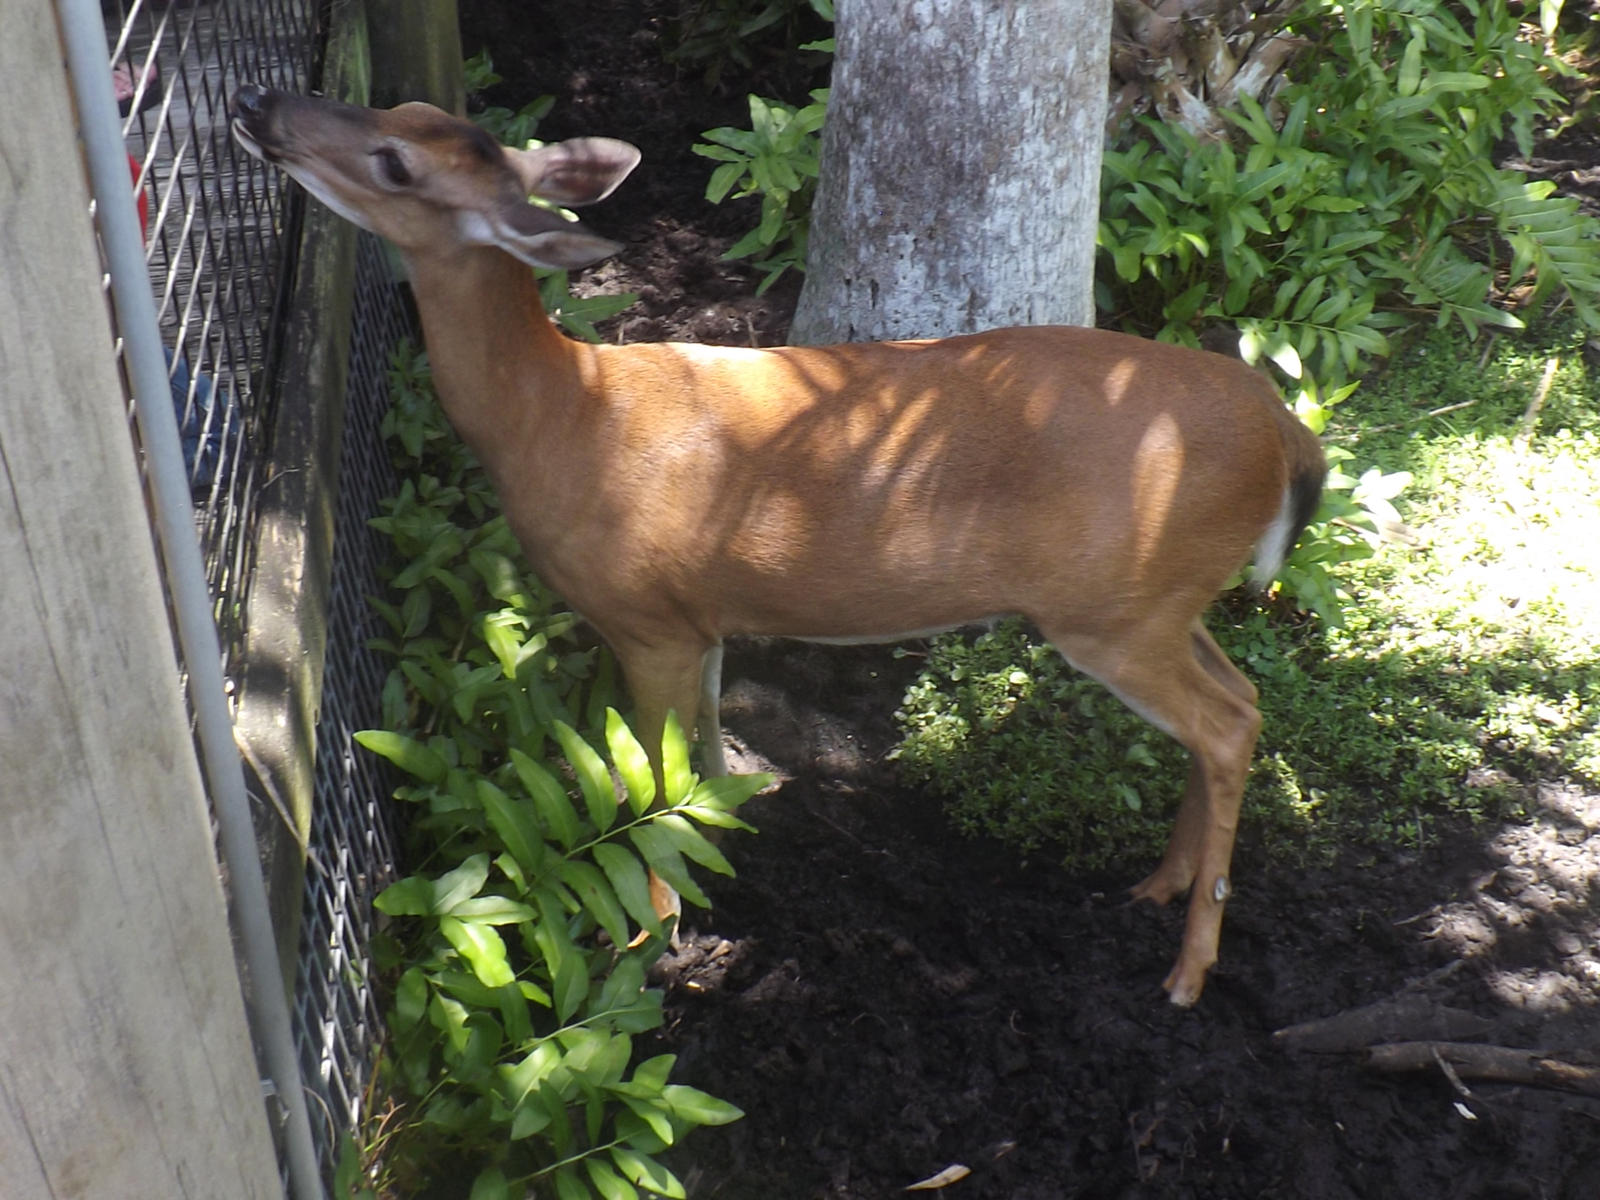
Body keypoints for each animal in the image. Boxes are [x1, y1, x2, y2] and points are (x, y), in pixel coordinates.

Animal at [228, 82, 1324, 1004]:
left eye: (395, 164)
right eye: (403, 110)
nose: (262, 106)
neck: (564, 418)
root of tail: (1282, 428)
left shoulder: (648, 617)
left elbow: (656, 773)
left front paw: (651, 945)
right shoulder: (703, 619)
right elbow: (706, 766)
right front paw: (711, 882)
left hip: (1111, 612)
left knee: (1225, 725)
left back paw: (1187, 969)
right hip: (1161, 600)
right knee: (1240, 698)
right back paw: (1159, 884)